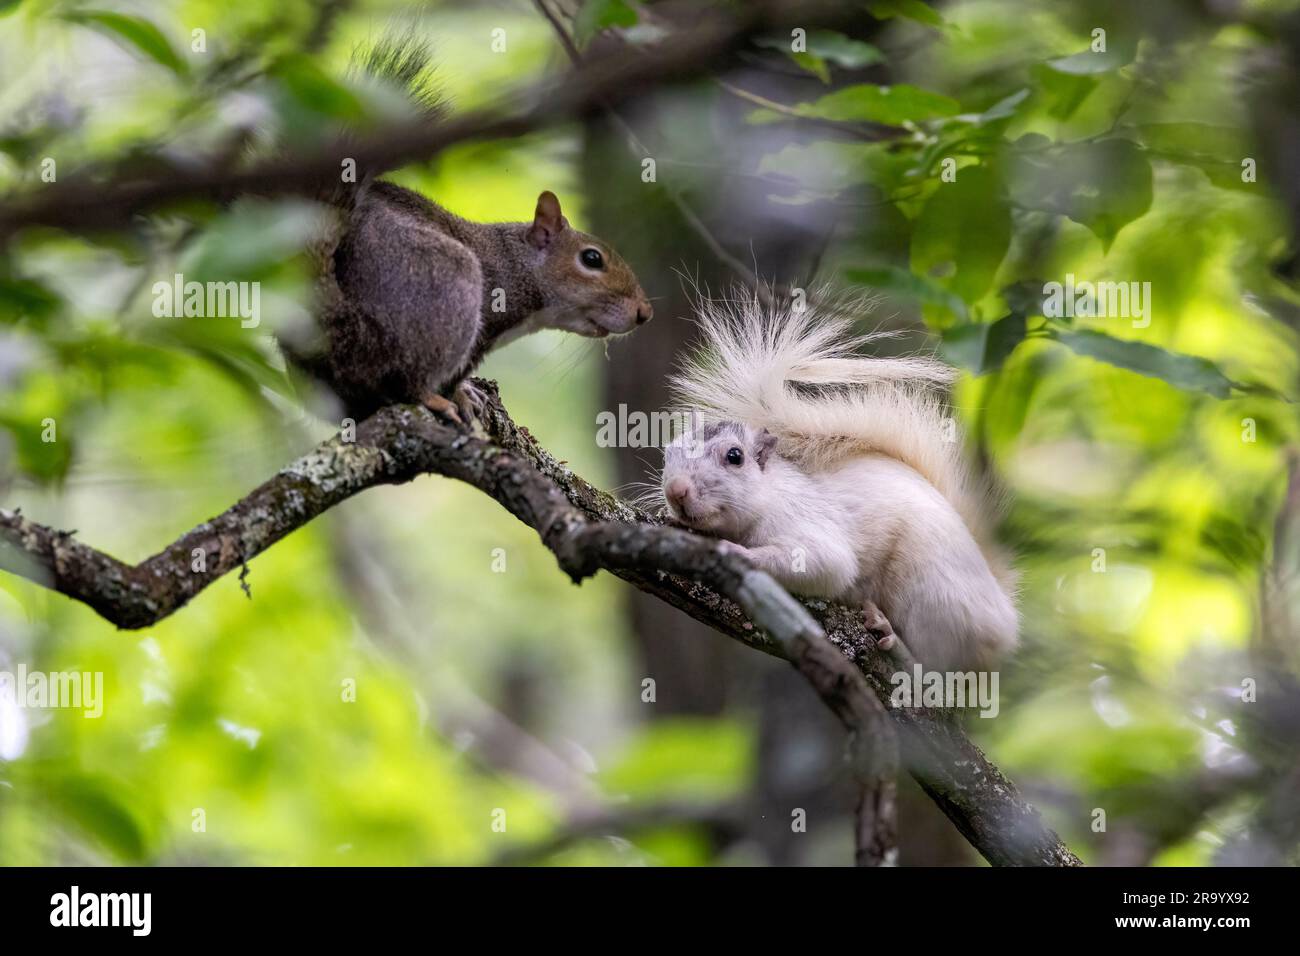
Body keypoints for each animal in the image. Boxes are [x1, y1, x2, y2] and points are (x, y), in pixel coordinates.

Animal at [291, 37, 650, 418]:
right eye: (592, 259)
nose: (645, 312)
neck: (516, 262)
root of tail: (349, 339)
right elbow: (455, 375)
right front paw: (463, 394)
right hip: (448, 287)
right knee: (407, 379)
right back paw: (431, 397)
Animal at [665, 299, 1019, 671]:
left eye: (735, 456)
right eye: (667, 453)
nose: (676, 491)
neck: (769, 495)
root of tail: (1004, 616)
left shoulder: (805, 523)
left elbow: (825, 564)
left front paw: (737, 553)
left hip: (934, 598)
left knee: (930, 663)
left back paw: (891, 637)